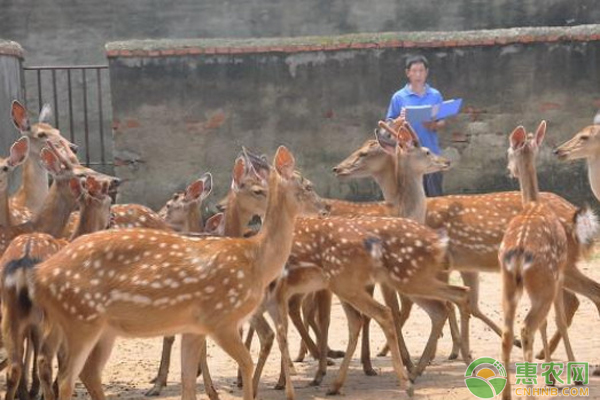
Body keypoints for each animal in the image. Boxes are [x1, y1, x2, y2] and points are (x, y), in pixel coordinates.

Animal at [0, 176, 112, 400]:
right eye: (109, 201)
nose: (112, 220)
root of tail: (23, 264)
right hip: (49, 316)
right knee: (44, 360)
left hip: (11, 311)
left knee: (14, 365)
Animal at [22, 145, 328, 400]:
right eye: (308, 186)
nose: (326, 208)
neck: (255, 260)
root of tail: (39, 277)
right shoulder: (221, 318)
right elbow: (246, 362)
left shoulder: (193, 327)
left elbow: (188, 382)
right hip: (80, 319)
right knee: (66, 377)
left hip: (100, 327)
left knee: (86, 372)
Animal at [500, 122, 592, 396]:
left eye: (508, 152)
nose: (509, 170)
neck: (533, 202)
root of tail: (519, 251)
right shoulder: (558, 274)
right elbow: (559, 320)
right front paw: (572, 377)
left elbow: (551, 322)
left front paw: (552, 378)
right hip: (543, 279)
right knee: (528, 326)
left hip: (509, 283)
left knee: (510, 331)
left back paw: (506, 394)